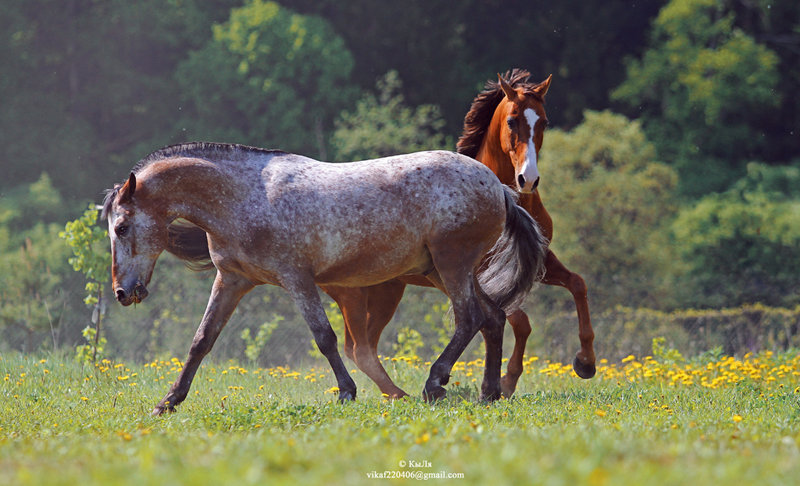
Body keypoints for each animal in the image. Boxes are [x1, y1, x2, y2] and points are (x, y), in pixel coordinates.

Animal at [103, 142, 548, 412]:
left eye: (121, 227)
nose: (123, 292)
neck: (244, 198)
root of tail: (500, 189)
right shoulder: (231, 281)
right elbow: (201, 340)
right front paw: (168, 401)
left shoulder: (297, 279)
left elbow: (324, 337)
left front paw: (347, 392)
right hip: (439, 269)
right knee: (492, 318)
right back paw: (489, 393)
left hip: (451, 264)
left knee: (469, 318)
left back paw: (435, 383)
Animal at [324, 71, 592, 398]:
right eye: (512, 120)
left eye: (544, 121)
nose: (527, 179)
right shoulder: (476, 274)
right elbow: (519, 320)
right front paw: (507, 381)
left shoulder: (538, 260)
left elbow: (577, 284)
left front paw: (585, 363)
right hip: (354, 293)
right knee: (359, 348)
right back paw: (401, 394)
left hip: (386, 291)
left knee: (363, 346)